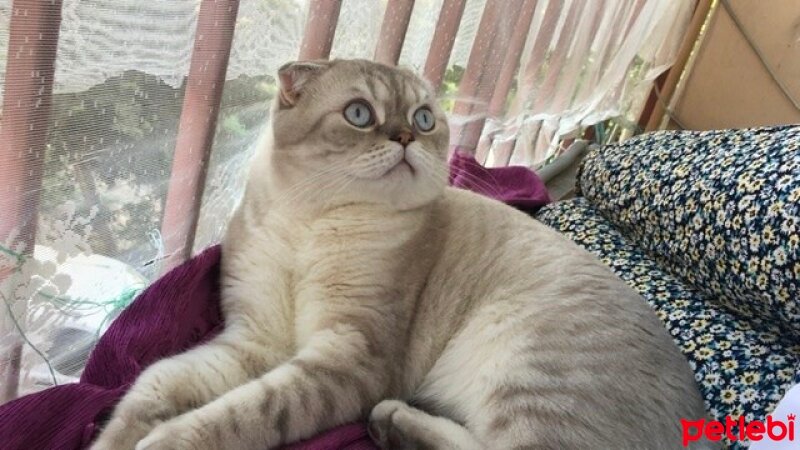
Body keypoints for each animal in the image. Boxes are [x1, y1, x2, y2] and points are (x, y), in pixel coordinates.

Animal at [90, 59, 708, 450]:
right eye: (360, 114)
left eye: (424, 119)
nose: (407, 139)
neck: (307, 220)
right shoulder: (255, 342)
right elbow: (154, 387)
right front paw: (117, 438)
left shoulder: (348, 357)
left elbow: (241, 413)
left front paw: (164, 440)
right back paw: (393, 423)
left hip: (529, 375)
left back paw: (393, 420)